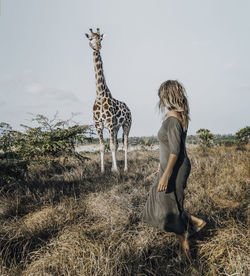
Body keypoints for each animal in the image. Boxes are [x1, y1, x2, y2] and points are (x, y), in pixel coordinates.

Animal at [86, 27, 132, 170]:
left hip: (126, 124)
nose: (98, 46)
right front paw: (103, 170)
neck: (100, 94)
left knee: (125, 145)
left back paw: (125, 168)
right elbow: (102, 147)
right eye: (91, 38)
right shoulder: (98, 125)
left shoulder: (111, 124)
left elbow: (111, 146)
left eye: (100, 38)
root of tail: (128, 108)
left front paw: (116, 170)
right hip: (117, 128)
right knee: (117, 144)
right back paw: (113, 167)